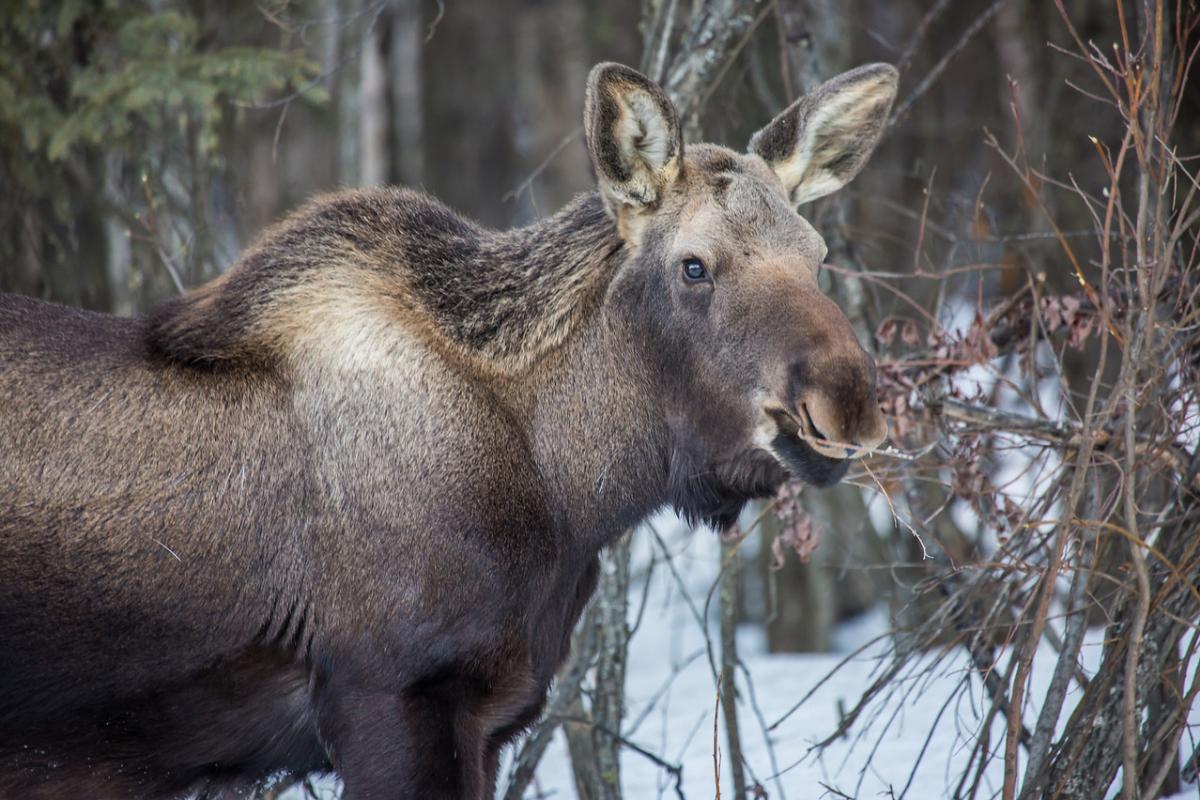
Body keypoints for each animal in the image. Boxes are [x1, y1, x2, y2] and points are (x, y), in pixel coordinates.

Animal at [0, 61, 896, 799]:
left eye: (818, 255)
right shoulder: (392, 696)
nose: (844, 403)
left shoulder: (491, 712)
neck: (569, 493)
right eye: (694, 265)